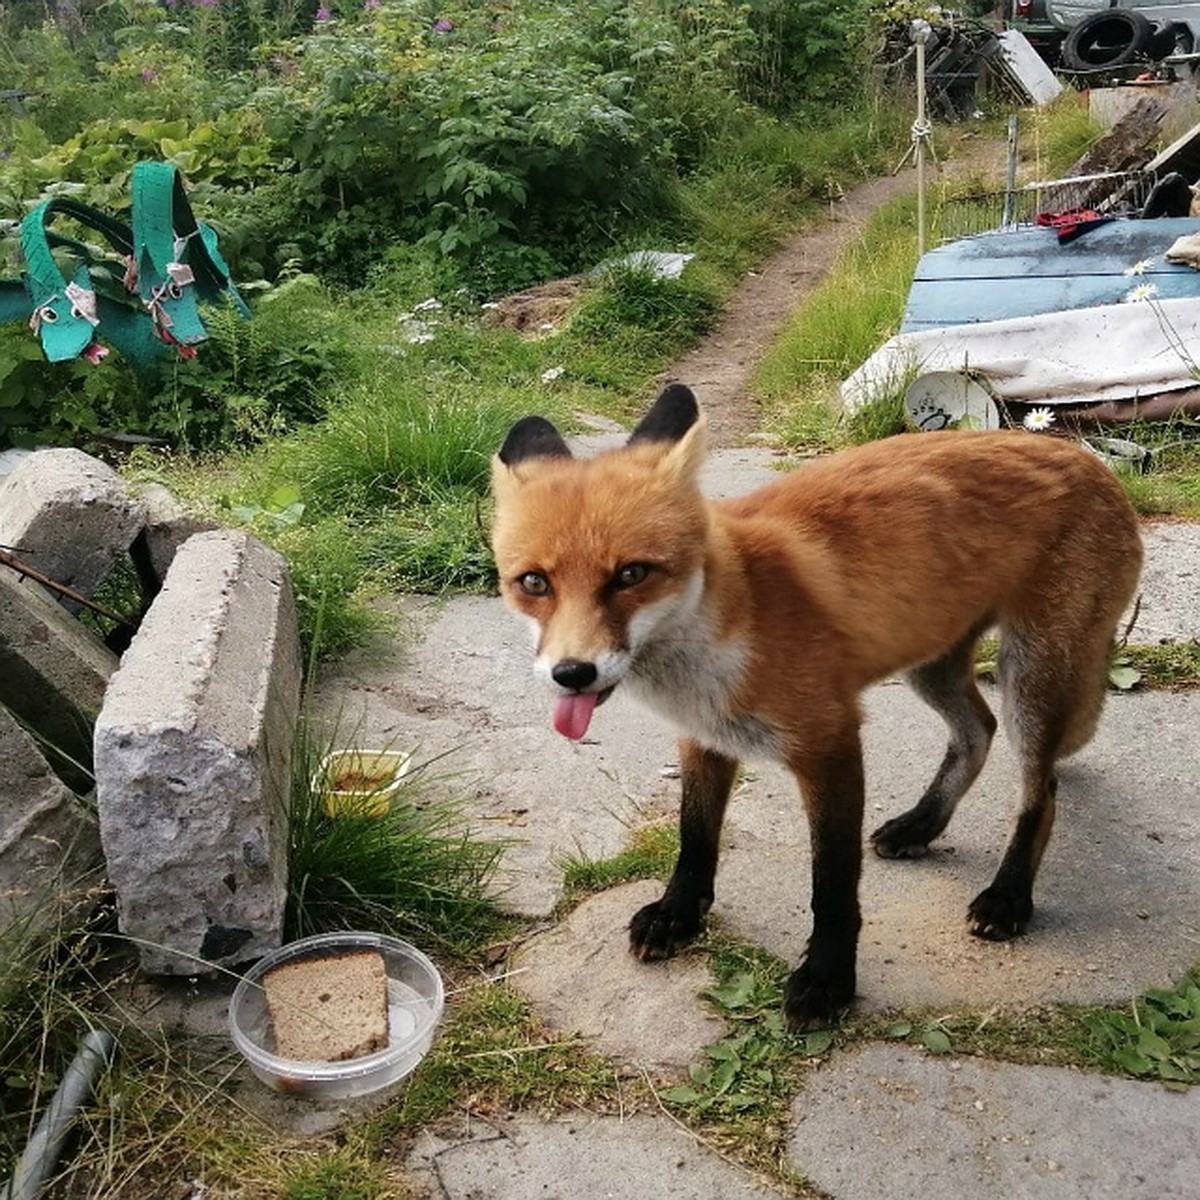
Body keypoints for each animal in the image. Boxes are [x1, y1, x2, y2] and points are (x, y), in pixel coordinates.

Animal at [487, 386, 1142, 1032]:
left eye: (631, 574)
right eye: (534, 583)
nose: (571, 673)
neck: (728, 629)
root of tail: (1086, 457)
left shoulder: (830, 743)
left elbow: (832, 884)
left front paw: (827, 978)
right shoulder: (704, 737)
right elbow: (695, 838)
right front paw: (679, 913)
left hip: (1031, 675)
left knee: (1041, 791)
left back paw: (1008, 897)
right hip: (931, 663)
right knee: (978, 731)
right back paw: (922, 824)